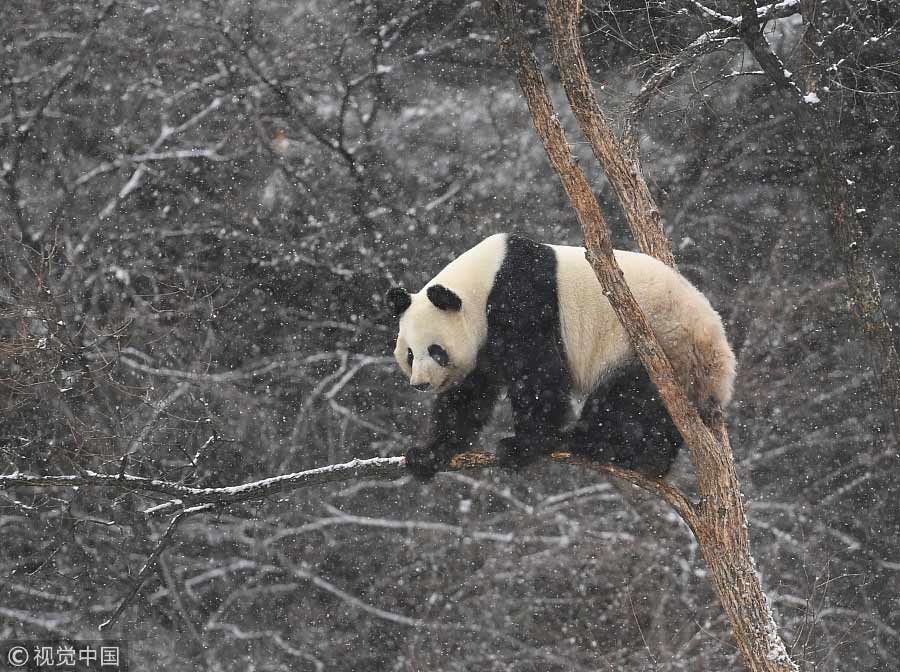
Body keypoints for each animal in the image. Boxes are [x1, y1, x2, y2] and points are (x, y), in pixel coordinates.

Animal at [384, 234, 732, 480]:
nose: (421, 384)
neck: (482, 282)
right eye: (410, 354)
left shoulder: (521, 299)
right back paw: (651, 460)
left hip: (659, 349)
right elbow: (469, 396)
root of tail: (722, 366)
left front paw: (522, 445)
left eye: (436, 351)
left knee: (627, 402)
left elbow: (538, 374)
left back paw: (593, 443)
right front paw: (428, 454)